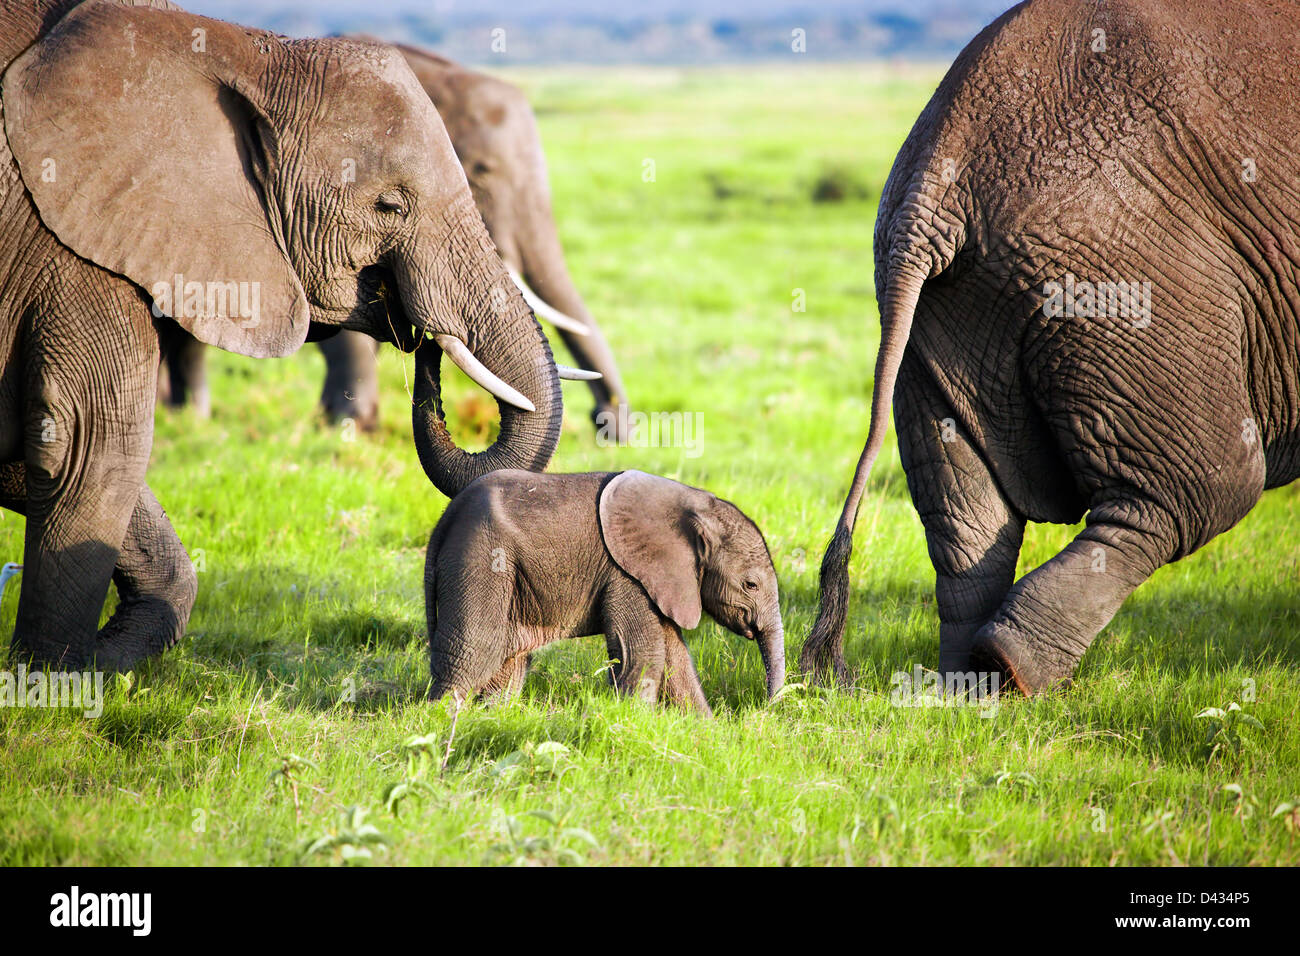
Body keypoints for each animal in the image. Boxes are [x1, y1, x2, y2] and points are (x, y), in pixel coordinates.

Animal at [5, 0, 564, 671]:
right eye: (389, 206)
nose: (424, 339)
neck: (244, 51)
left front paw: (94, 663)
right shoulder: (68, 239)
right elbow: (90, 441)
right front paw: (55, 683)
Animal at [431, 468, 785, 712]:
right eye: (750, 584)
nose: (764, 710)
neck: (694, 503)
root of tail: (446, 517)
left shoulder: (659, 579)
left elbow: (676, 657)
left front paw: (704, 732)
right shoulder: (627, 574)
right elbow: (643, 653)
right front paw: (635, 721)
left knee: (508, 660)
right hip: (480, 556)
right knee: (476, 649)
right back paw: (442, 718)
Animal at [800, 0, 1300, 691]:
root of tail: (938, 173)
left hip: (936, 311)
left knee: (967, 521)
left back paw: (970, 686)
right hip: (1126, 275)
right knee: (1199, 487)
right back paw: (1014, 669)